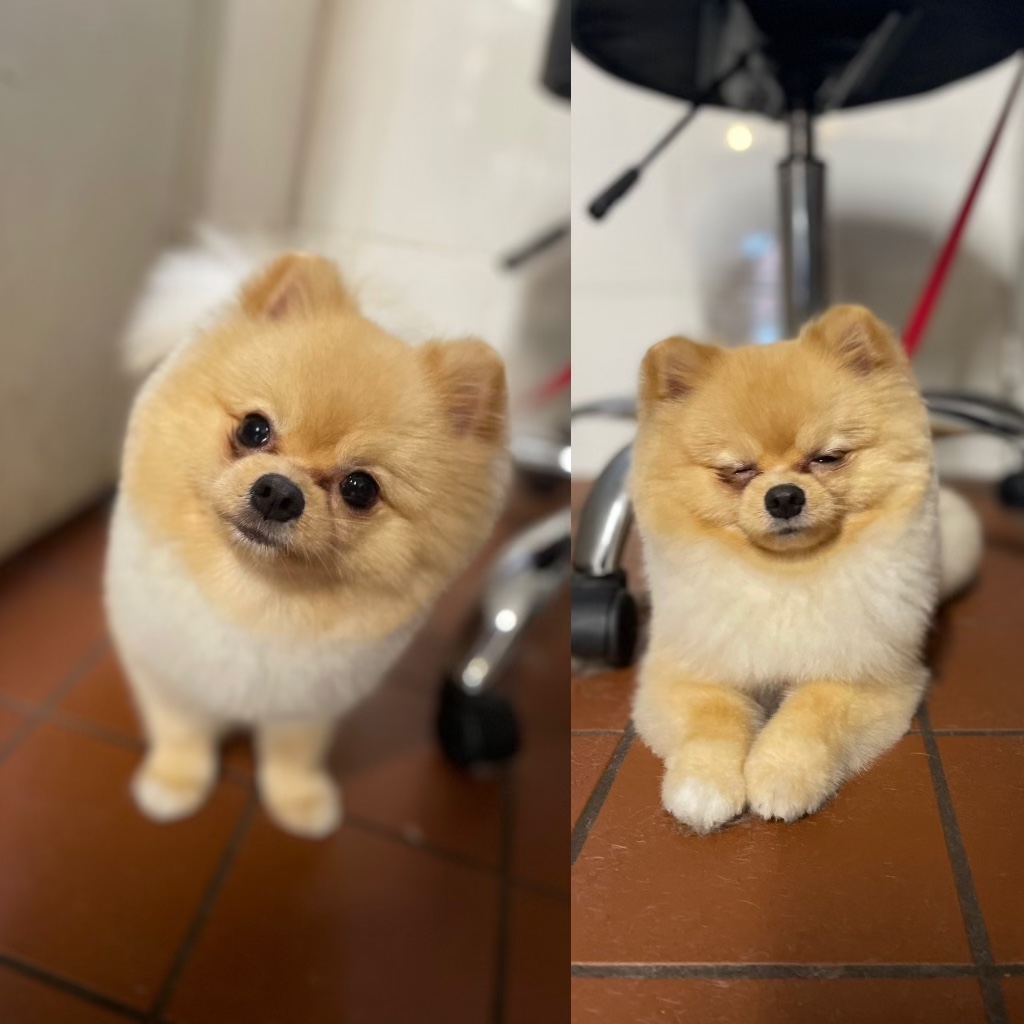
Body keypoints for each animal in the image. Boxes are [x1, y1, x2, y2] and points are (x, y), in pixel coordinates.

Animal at [107, 235, 507, 835]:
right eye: (254, 429)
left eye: (360, 488)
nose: (278, 492)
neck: (254, 598)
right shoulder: (171, 674)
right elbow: (181, 731)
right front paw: (175, 782)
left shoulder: (308, 705)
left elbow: (292, 753)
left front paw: (298, 801)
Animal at [630, 301, 983, 831]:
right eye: (738, 470)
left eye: (827, 457)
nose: (783, 497)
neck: (787, 578)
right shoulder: (686, 670)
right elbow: (711, 717)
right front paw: (703, 784)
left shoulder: (865, 676)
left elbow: (812, 713)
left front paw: (781, 775)